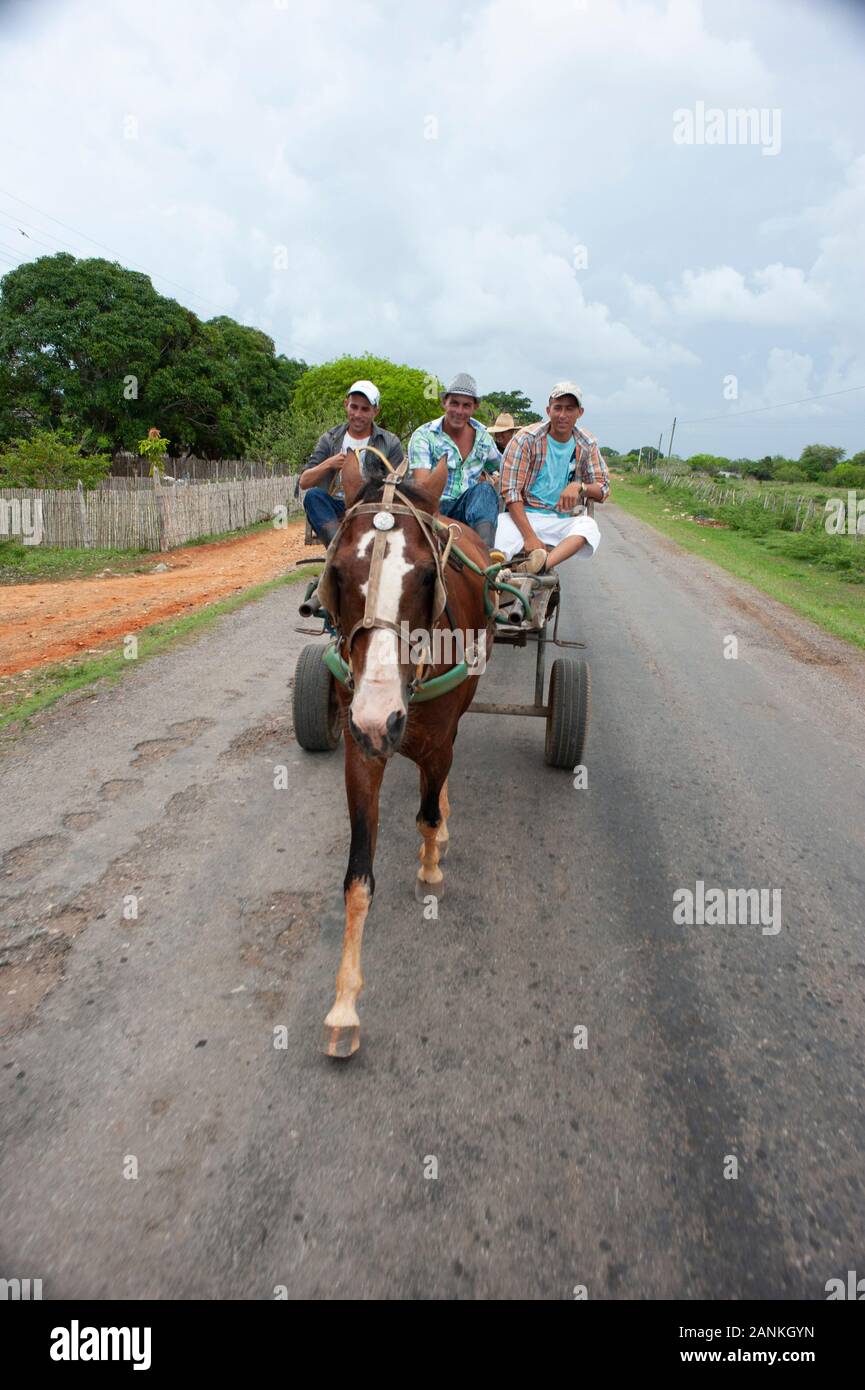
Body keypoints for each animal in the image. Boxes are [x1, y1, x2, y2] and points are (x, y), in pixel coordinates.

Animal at [311, 450, 497, 1056]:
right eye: (337, 575)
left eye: (426, 578)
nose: (380, 718)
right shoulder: (359, 748)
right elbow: (357, 879)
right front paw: (344, 1004)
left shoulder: (436, 742)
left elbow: (428, 812)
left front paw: (432, 863)